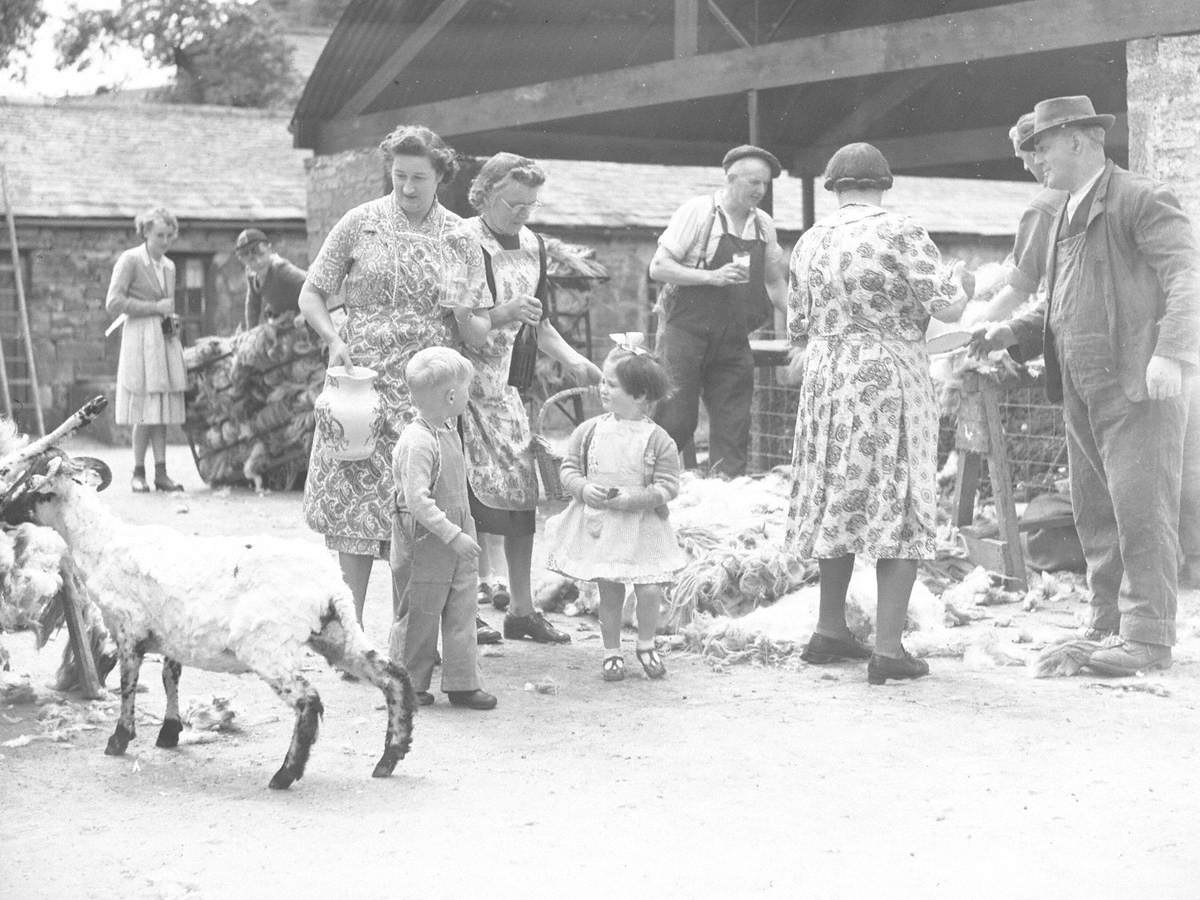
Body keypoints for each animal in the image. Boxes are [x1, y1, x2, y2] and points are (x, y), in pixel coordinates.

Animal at [5, 444, 417, 787]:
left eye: (32, 489)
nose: (2, 511)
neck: (102, 543)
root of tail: (331, 586)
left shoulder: (129, 631)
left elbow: (127, 687)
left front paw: (119, 740)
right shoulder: (172, 635)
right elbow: (170, 677)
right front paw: (169, 732)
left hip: (268, 646)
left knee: (309, 700)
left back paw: (285, 774)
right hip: (336, 634)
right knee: (393, 677)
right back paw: (390, 757)